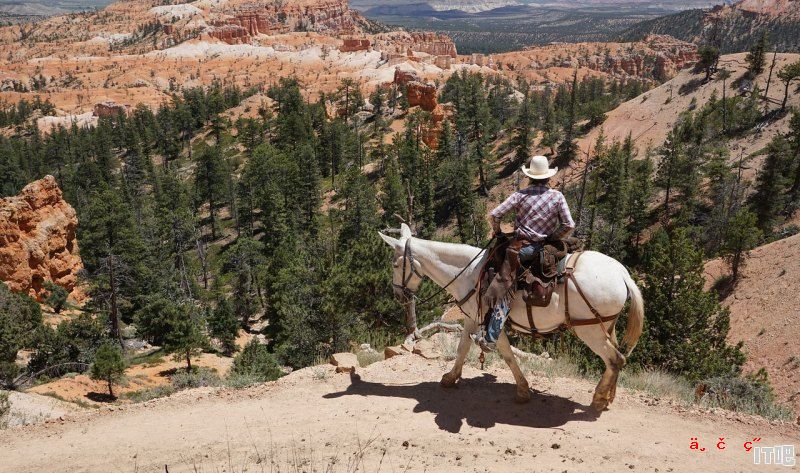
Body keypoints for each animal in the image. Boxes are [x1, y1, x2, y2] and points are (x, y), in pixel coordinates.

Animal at [378, 223, 648, 412]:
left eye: (394, 265)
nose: (398, 294)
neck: (469, 272)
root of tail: (623, 274)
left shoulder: (492, 323)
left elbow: (506, 355)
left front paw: (522, 391)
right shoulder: (473, 319)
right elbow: (463, 348)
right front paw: (450, 378)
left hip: (589, 331)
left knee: (615, 359)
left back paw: (599, 399)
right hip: (605, 325)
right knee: (616, 357)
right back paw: (609, 396)